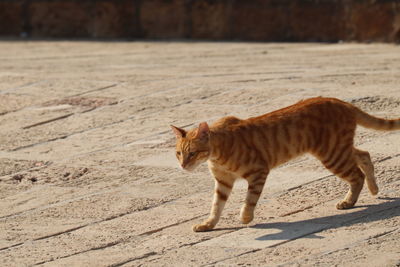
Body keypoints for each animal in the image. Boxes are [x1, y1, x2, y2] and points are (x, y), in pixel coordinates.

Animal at [170, 97, 400, 232]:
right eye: (179, 153)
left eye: (192, 153)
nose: (182, 165)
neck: (217, 153)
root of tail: (340, 101)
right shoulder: (223, 183)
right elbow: (216, 206)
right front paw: (208, 224)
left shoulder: (258, 172)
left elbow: (250, 199)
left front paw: (245, 217)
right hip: (339, 150)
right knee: (365, 155)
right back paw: (374, 189)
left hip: (333, 155)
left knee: (357, 174)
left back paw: (349, 201)